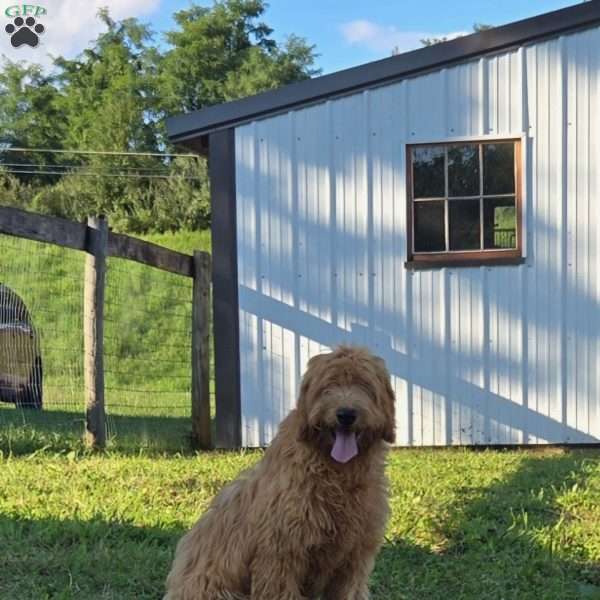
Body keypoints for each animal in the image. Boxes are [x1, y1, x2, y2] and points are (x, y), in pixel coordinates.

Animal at [166, 344, 396, 600]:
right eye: (328, 386)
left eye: (365, 385)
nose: (346, 414)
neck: (337, 473)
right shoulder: (281, 554)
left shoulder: (354, 559)